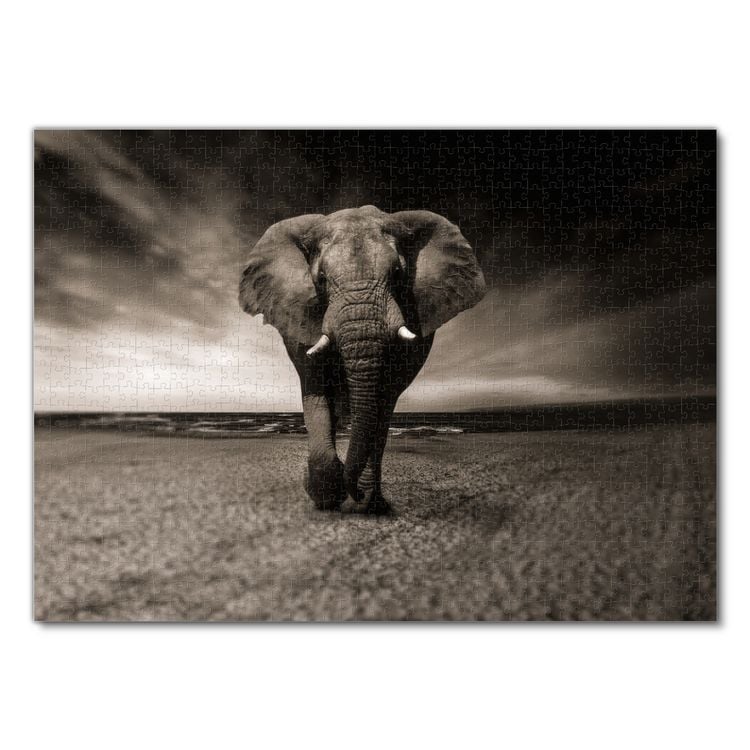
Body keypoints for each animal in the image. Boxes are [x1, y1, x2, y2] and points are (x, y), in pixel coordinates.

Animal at [239, 205, 486, 514]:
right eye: (321, 279)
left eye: (397, 274)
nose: (352, 492)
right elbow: (316, 389)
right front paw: (325, 494)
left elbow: (382, 400)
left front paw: (356, 496)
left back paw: (370, 502)